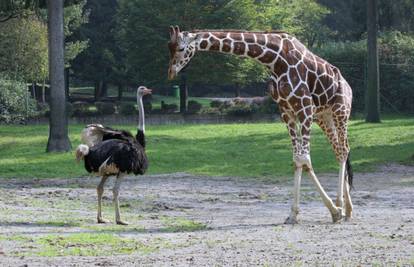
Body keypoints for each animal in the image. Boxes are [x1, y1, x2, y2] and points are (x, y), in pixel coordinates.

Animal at [168, 26, 352, 225]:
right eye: (169, 48)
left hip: (341, 111)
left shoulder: (304, 107)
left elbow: (304, 159)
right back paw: (347, 209)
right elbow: (297, 159)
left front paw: (334, 211)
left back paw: (342, 206)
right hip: (324, 117)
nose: (171, 71)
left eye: (180, 48)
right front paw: (294, 214)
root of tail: (348, 85)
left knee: (343, 150)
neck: (275, 59)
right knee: (339, 149)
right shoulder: (286, 111)